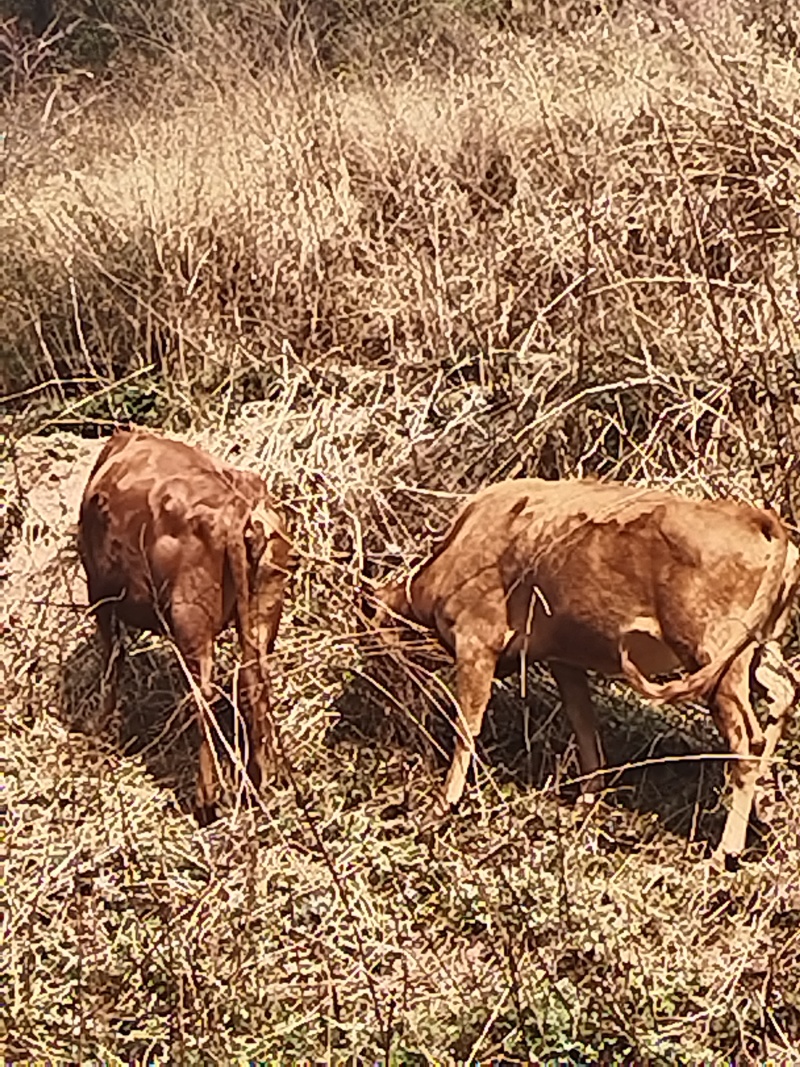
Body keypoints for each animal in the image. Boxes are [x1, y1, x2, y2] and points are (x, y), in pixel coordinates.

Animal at [75, 426, 292, 823]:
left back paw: (206, 799)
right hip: (264, 603)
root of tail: (238, 507)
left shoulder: (99, 592)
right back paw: (263, 780)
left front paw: (101, 732)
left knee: (202, 693)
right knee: (254, 680)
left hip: (190, 617)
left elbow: (111, 662)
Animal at [364, 475, 800, 866]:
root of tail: (753, 516)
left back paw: (725, 851)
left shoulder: (477, 641)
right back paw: (764, 810)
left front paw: (441, 806)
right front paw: (588, 798)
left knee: (747, 739)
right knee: (784, 693)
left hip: (714, 653)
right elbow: (583, 722)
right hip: (758, 647)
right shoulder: (564, 657)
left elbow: (465, 728)